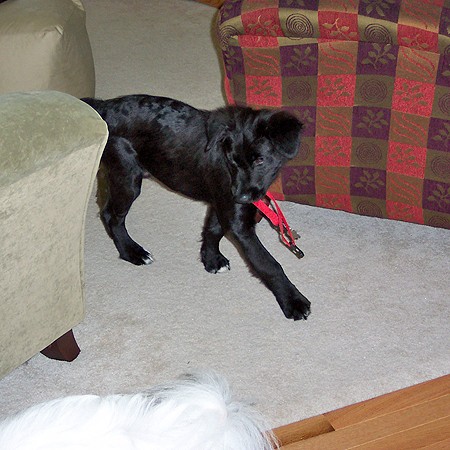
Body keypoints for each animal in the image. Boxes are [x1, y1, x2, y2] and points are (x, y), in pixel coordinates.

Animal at [82, 95, 312, 320]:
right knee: (111, 215)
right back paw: (132, 252)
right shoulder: (236, 218)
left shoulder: (221, 202)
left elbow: (213, 230)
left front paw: (211, 260)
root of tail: (103, 106)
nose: (241, 196)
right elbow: (268, 264)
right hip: (128, 178)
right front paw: (293, 301)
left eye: (260, 161)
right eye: (232, 161)